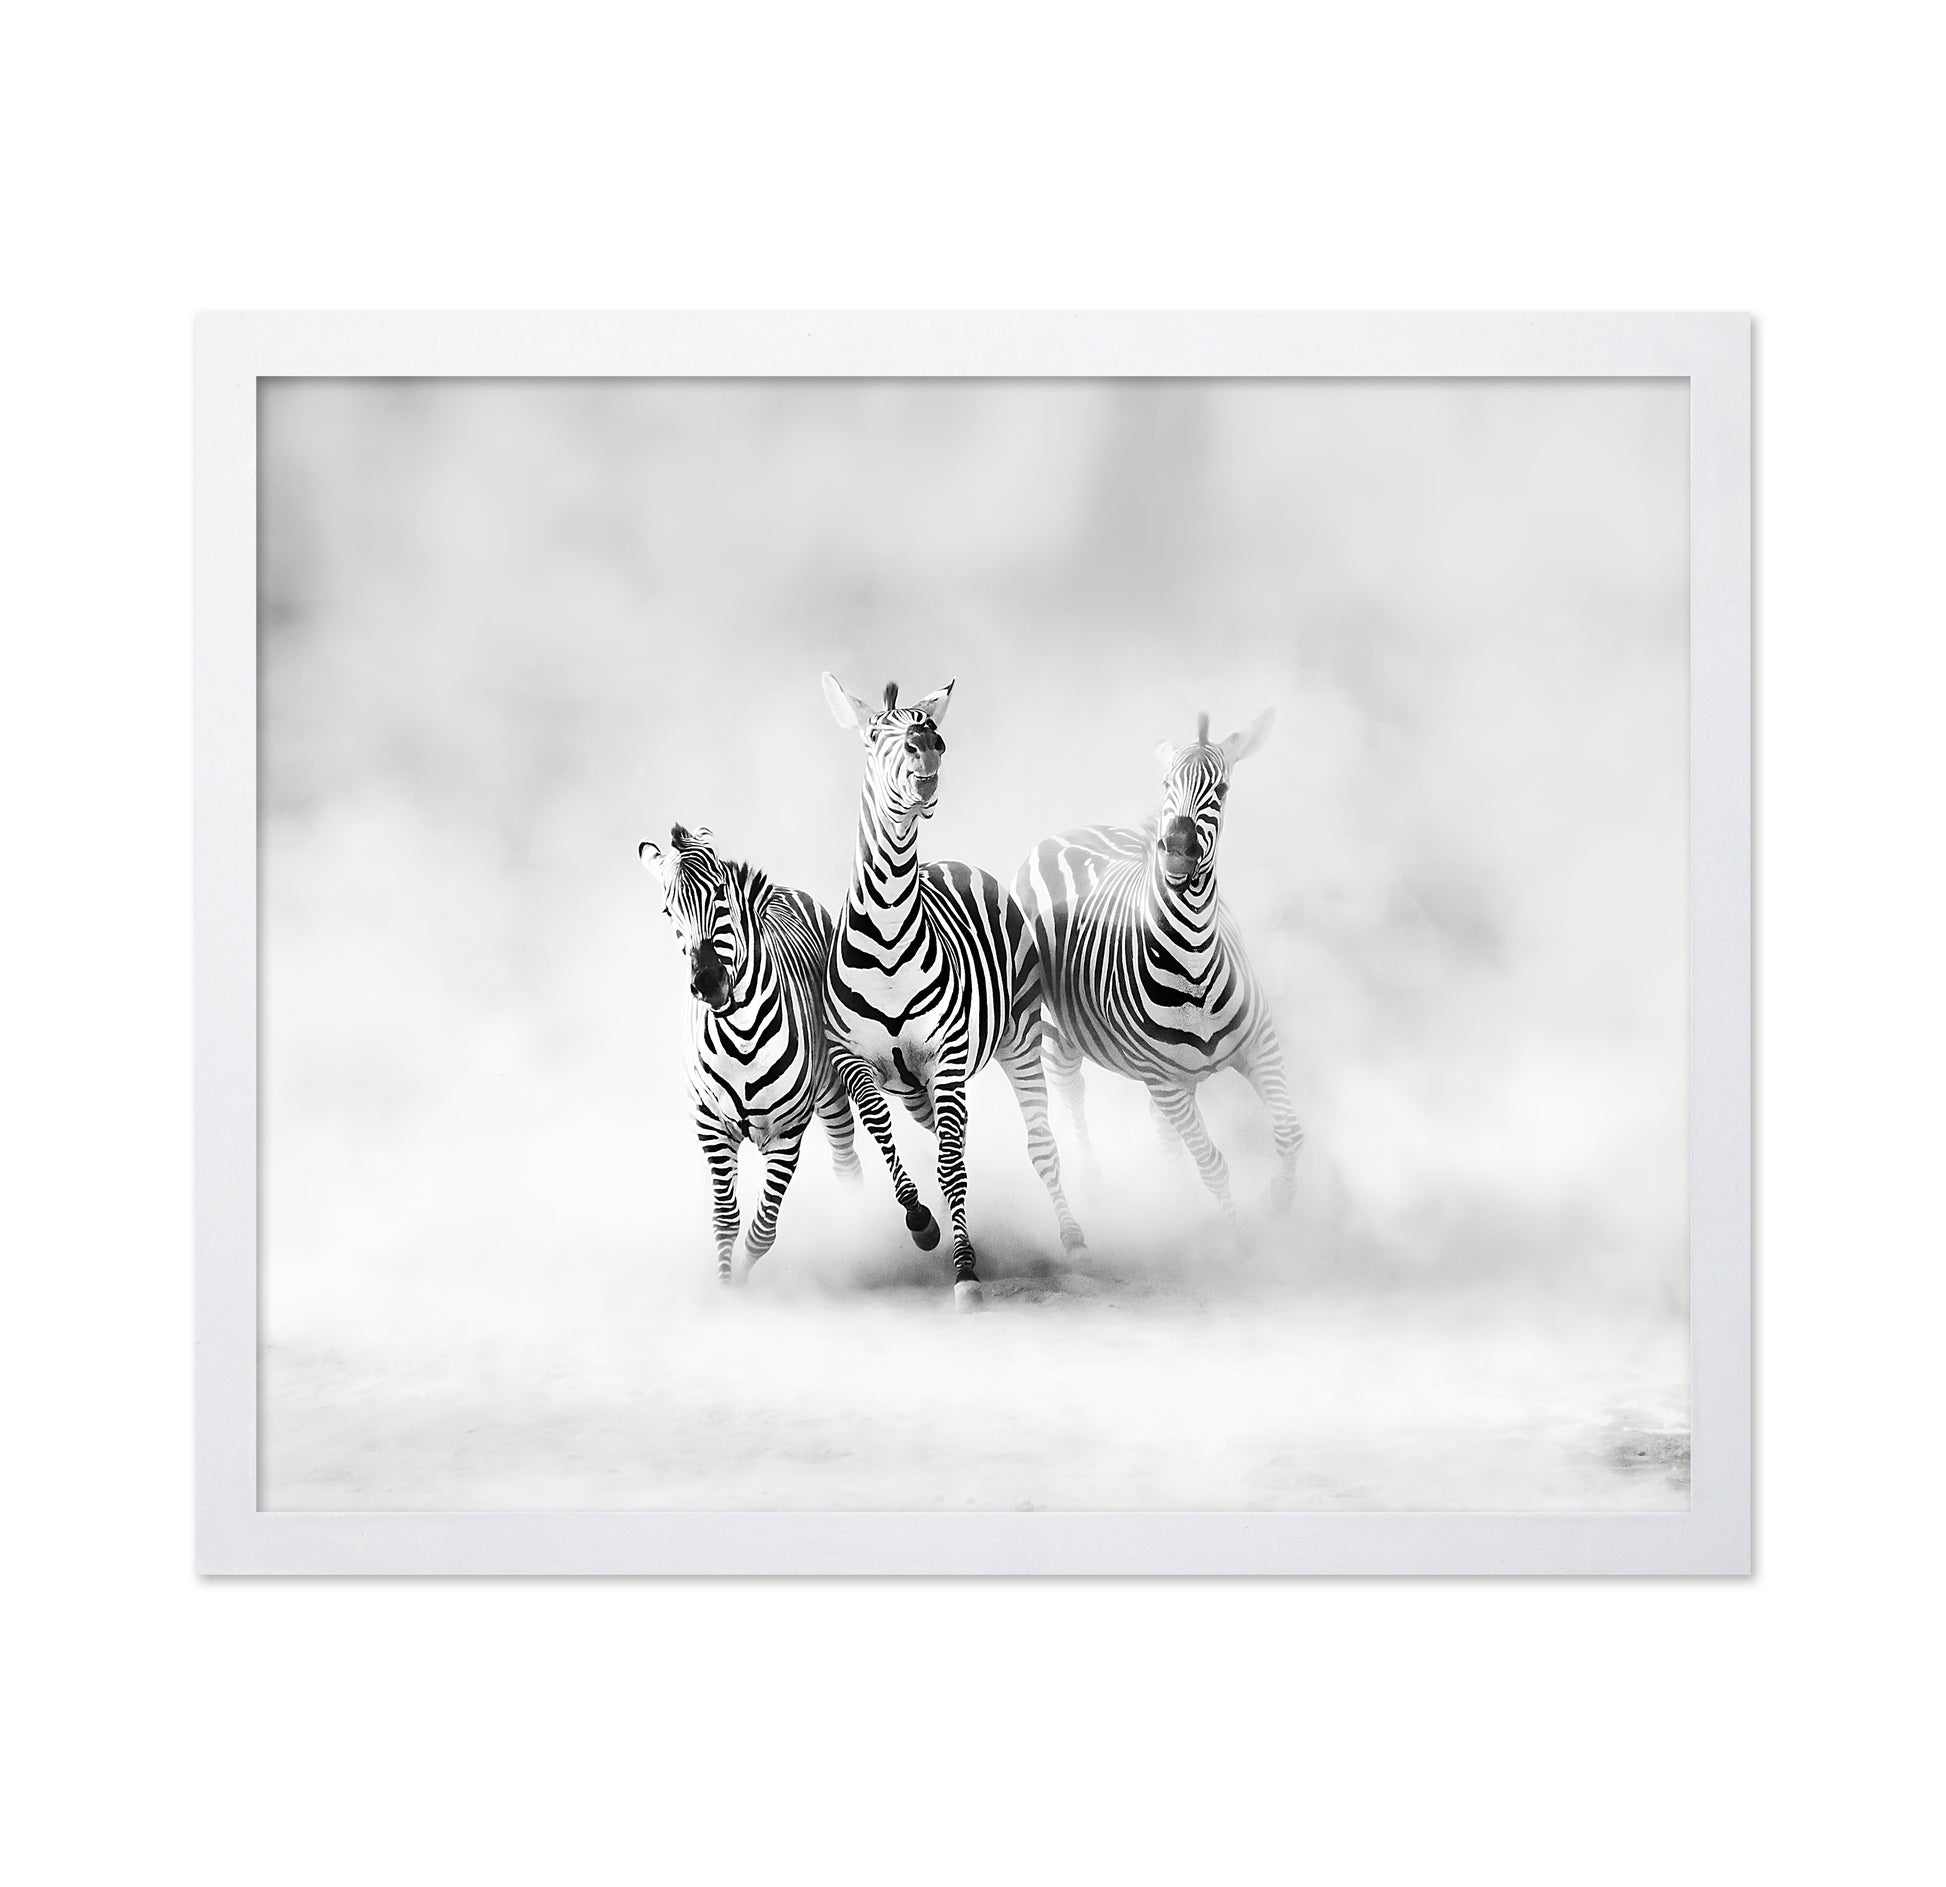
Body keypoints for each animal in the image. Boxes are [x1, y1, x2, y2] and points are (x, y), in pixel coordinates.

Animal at [639, 822, 861, 1283]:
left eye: (721, 893)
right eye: (668, 912)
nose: (708, 983)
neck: (741, 1035)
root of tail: (783, 890)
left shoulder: (787, 1132)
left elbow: (762, 1230)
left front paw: (741, 1279)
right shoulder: (711, 1127)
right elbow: (726, 1220)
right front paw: (728, 1288)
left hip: (831, 1091)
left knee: (847, 1165)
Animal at [821, 674, 1086, 1309]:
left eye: (929, 726)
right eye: (874, 735)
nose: (929, 746)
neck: (888, 931)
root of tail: (955, 863)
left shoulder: (945, 1057)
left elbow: (950, 1164)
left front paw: (966, 1269)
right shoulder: (853, 1060)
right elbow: (883, 1132)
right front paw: (921, 1222)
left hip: (1019, 1039)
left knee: (1038, 1143)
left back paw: (1073, 1241)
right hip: (916, 1085)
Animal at [1014, 710, 1302, 1226]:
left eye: (1222, 789)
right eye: (1167, 783)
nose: (1178, 850)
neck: (1194, 960)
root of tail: (1065, 834)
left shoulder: (1259, 1044)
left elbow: (1289, 1130)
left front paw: (1281, 1199)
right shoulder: (1164, 1081)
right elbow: (1213, 1165)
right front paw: (1238, 1236)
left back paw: (1175, 1197)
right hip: (1055, 1027)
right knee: (1070, 1089)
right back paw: (1096, 1187)